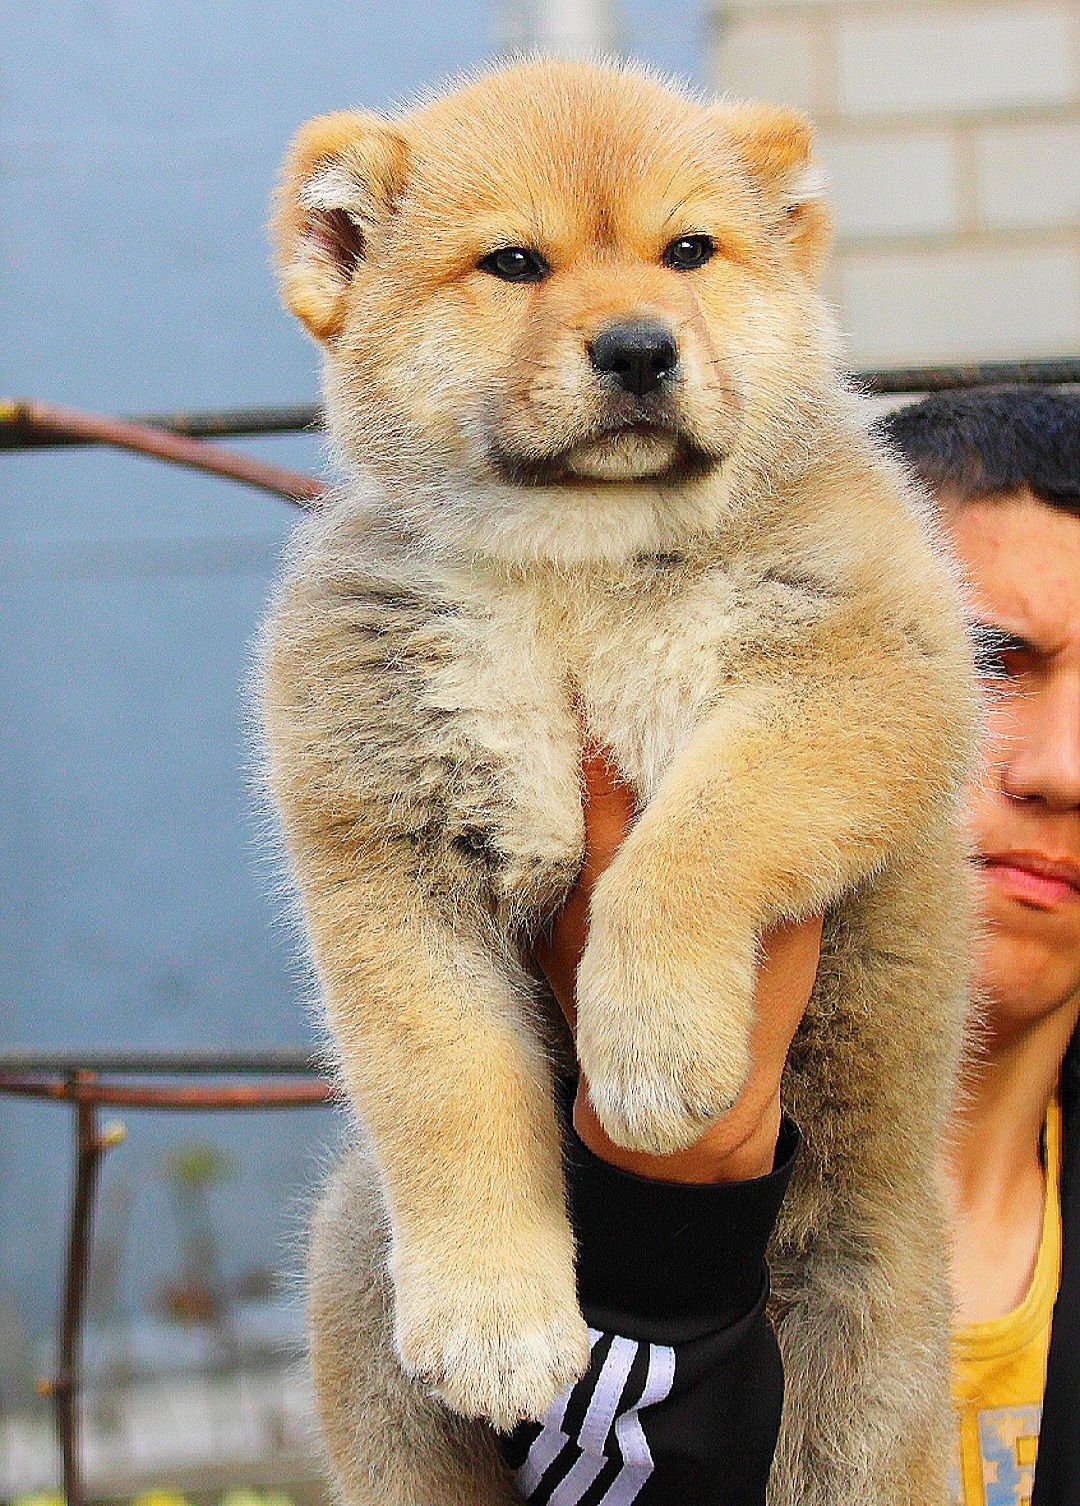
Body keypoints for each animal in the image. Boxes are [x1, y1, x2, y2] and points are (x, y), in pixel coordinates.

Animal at [263, 58, 976, 1506]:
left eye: (687, 252)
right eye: (514, 264)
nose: (641, 347)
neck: (582, 573)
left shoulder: (863, 673)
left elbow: (693, 843)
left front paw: (653, 1045)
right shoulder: (388, 835)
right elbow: (449, 1085)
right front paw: (494, 1319)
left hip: (862, 1379)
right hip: (360, 1277)